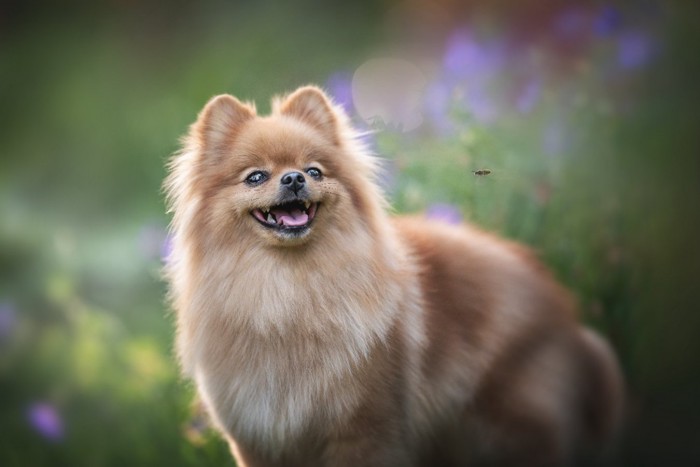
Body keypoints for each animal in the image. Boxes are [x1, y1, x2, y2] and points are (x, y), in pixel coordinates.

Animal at [165, 86, 624, 466]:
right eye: (256, 177)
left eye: (314, 171)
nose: (293, 178)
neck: (289, 291)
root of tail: (569, 320)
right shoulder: (258, 440)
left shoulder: (365, 431)